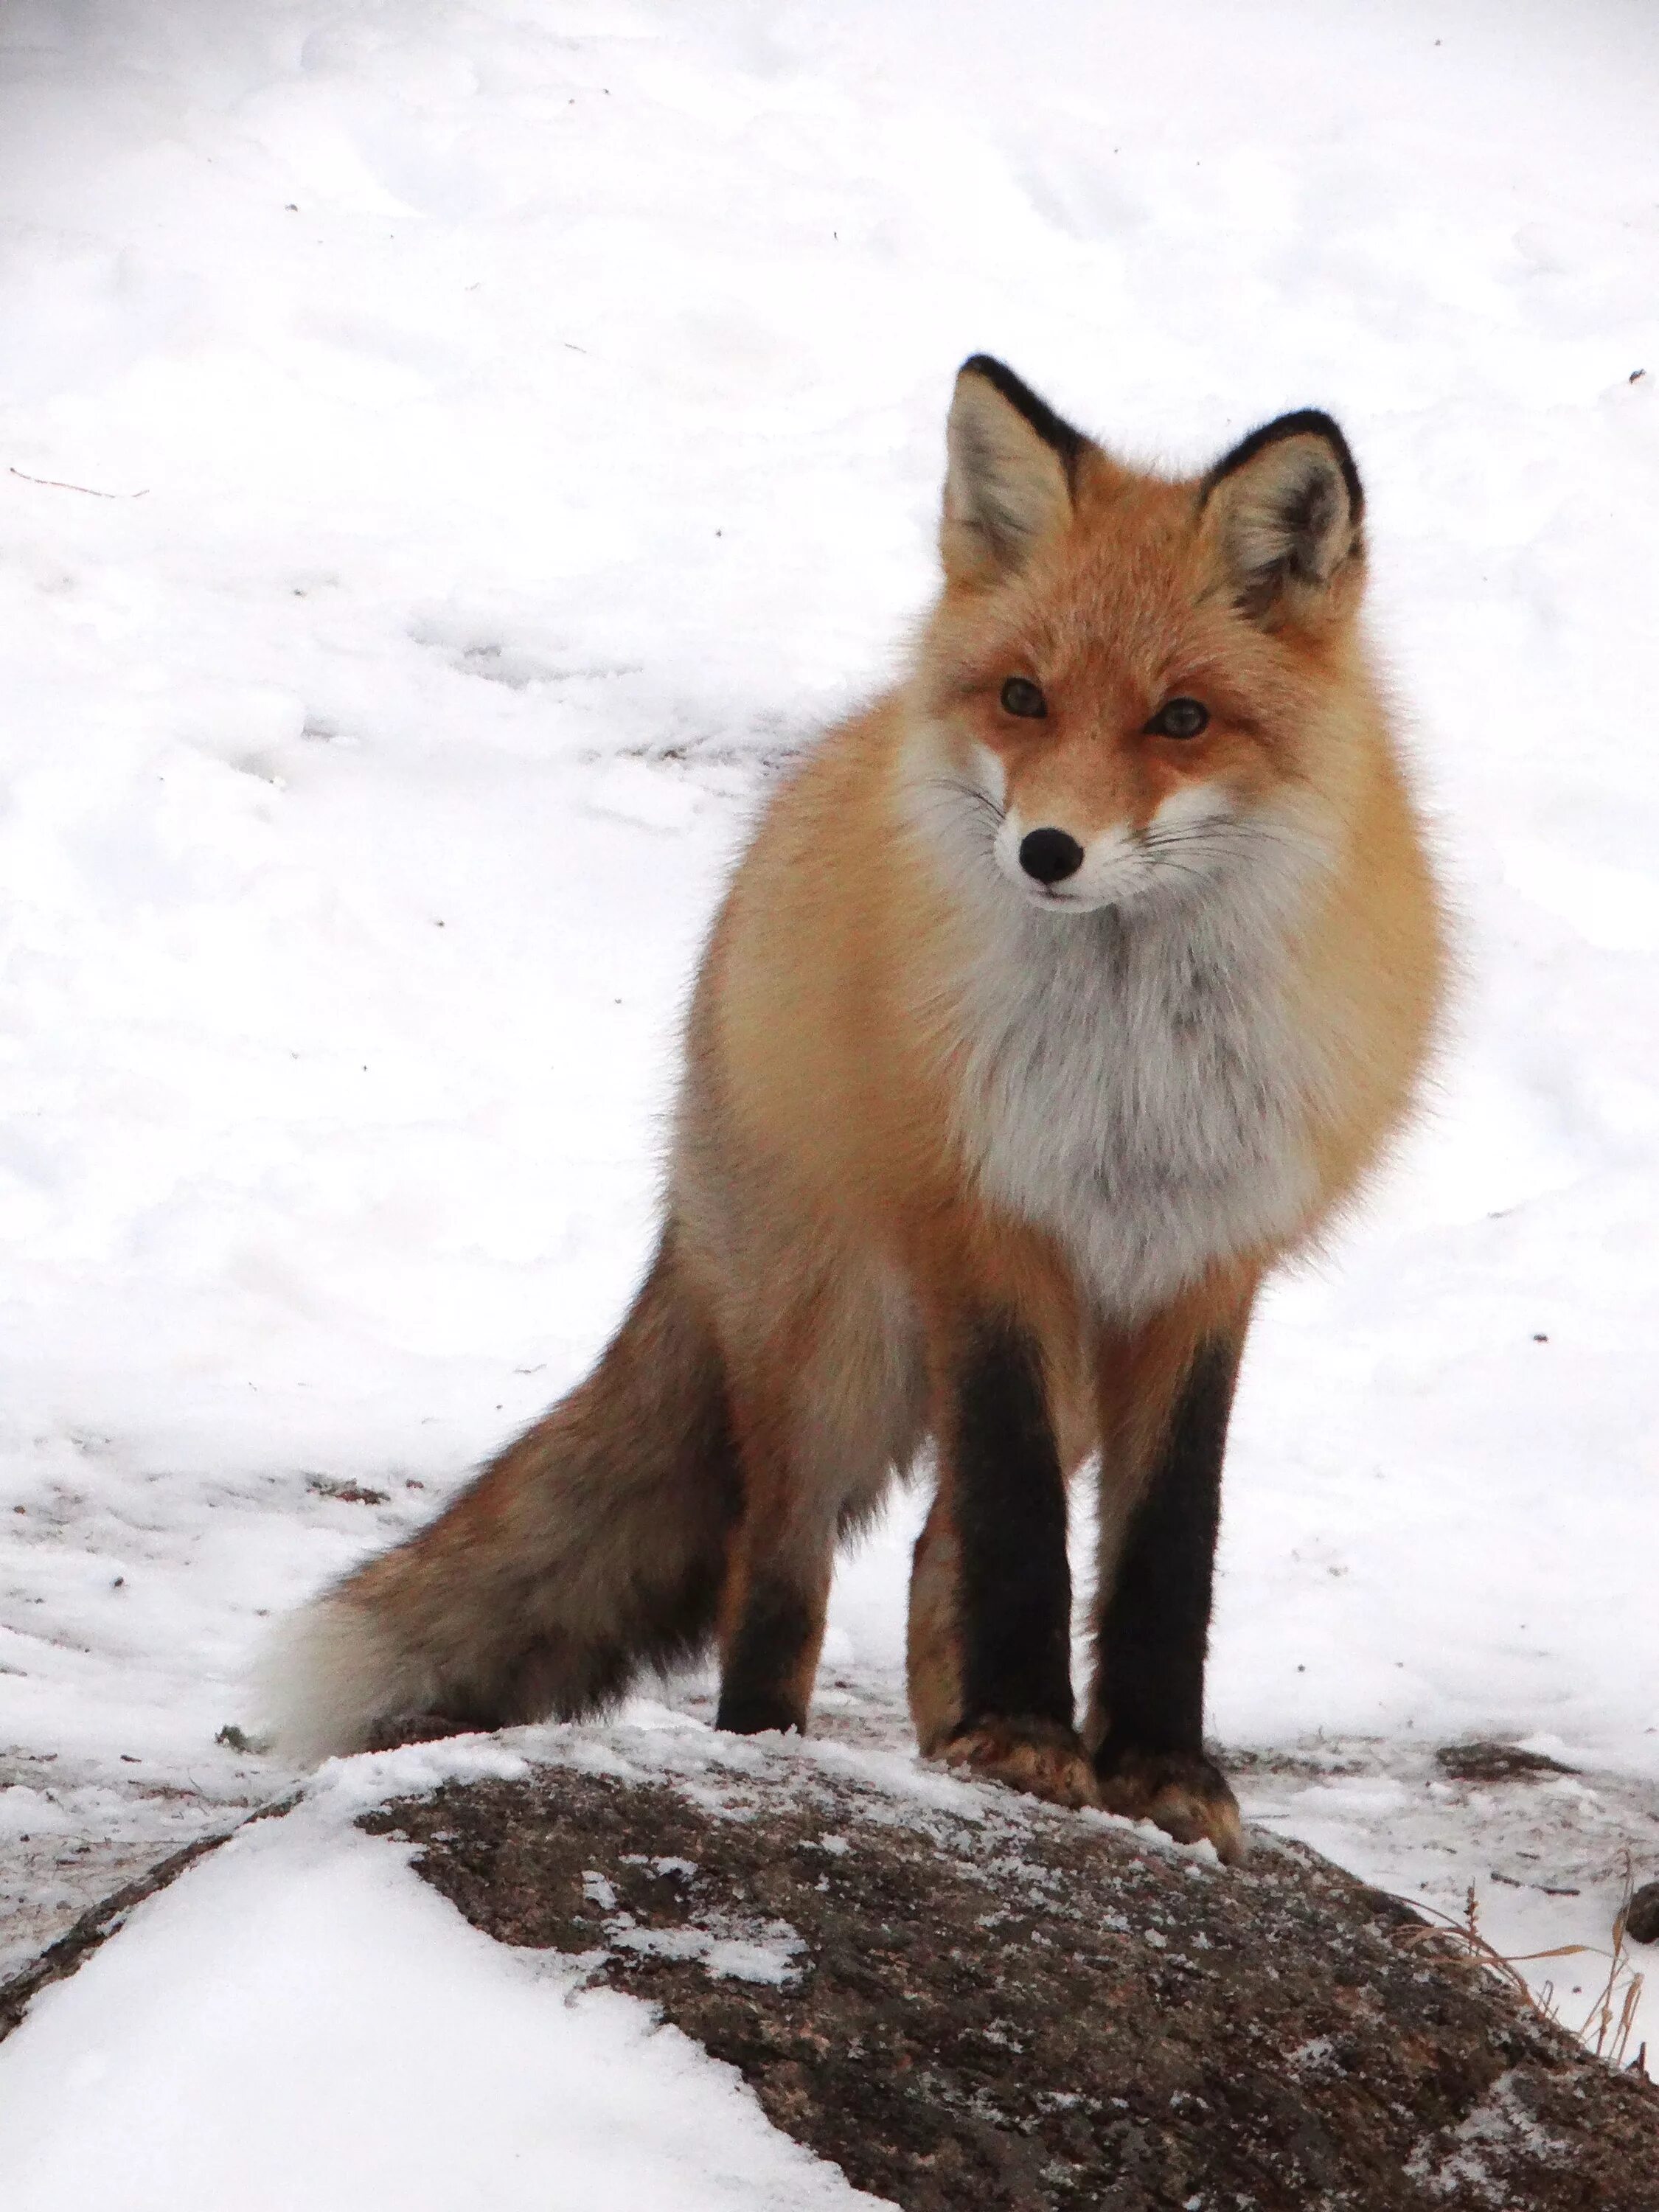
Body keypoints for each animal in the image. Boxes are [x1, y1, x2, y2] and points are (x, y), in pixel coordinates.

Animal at [266, 354, 1451, 1858]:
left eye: (1181, 719)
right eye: (1023, 697)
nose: (1046, 851)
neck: (1127, 1071)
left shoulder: (1200, 1267)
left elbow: (1161, 1551)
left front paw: (1149, 1769)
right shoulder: (983, 1230)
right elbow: (1016, 1528)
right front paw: (1028, 1740)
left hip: (1049, 1362)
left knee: (933, 1550)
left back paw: (946, 1745)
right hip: (829, 1352)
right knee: (779, 1577)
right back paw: (772, 1751)